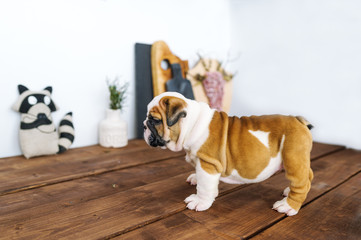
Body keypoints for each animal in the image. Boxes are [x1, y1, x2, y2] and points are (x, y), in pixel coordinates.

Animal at [143, 91, 312, 216]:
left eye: (155, 120)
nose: (144, 125)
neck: (193, 124)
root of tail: (298, 120)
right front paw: (195, 178)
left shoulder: (208, 164)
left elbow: (205, 187)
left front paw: (199, 201)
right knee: (307, 175)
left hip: (293, 157)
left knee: (302, 184)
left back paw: (288, 206)